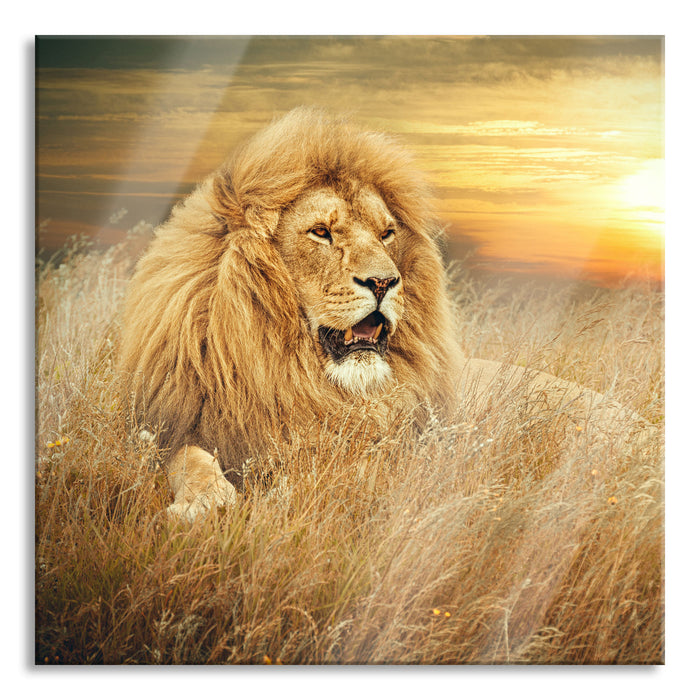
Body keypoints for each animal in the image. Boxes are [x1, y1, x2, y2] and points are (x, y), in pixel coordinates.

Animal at [119, 107, 650, 521]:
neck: (295, 376)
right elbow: (188, 459)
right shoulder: (174, 428)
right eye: (321, 232)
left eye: (386, 233)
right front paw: (203, 503)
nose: (383, 282)